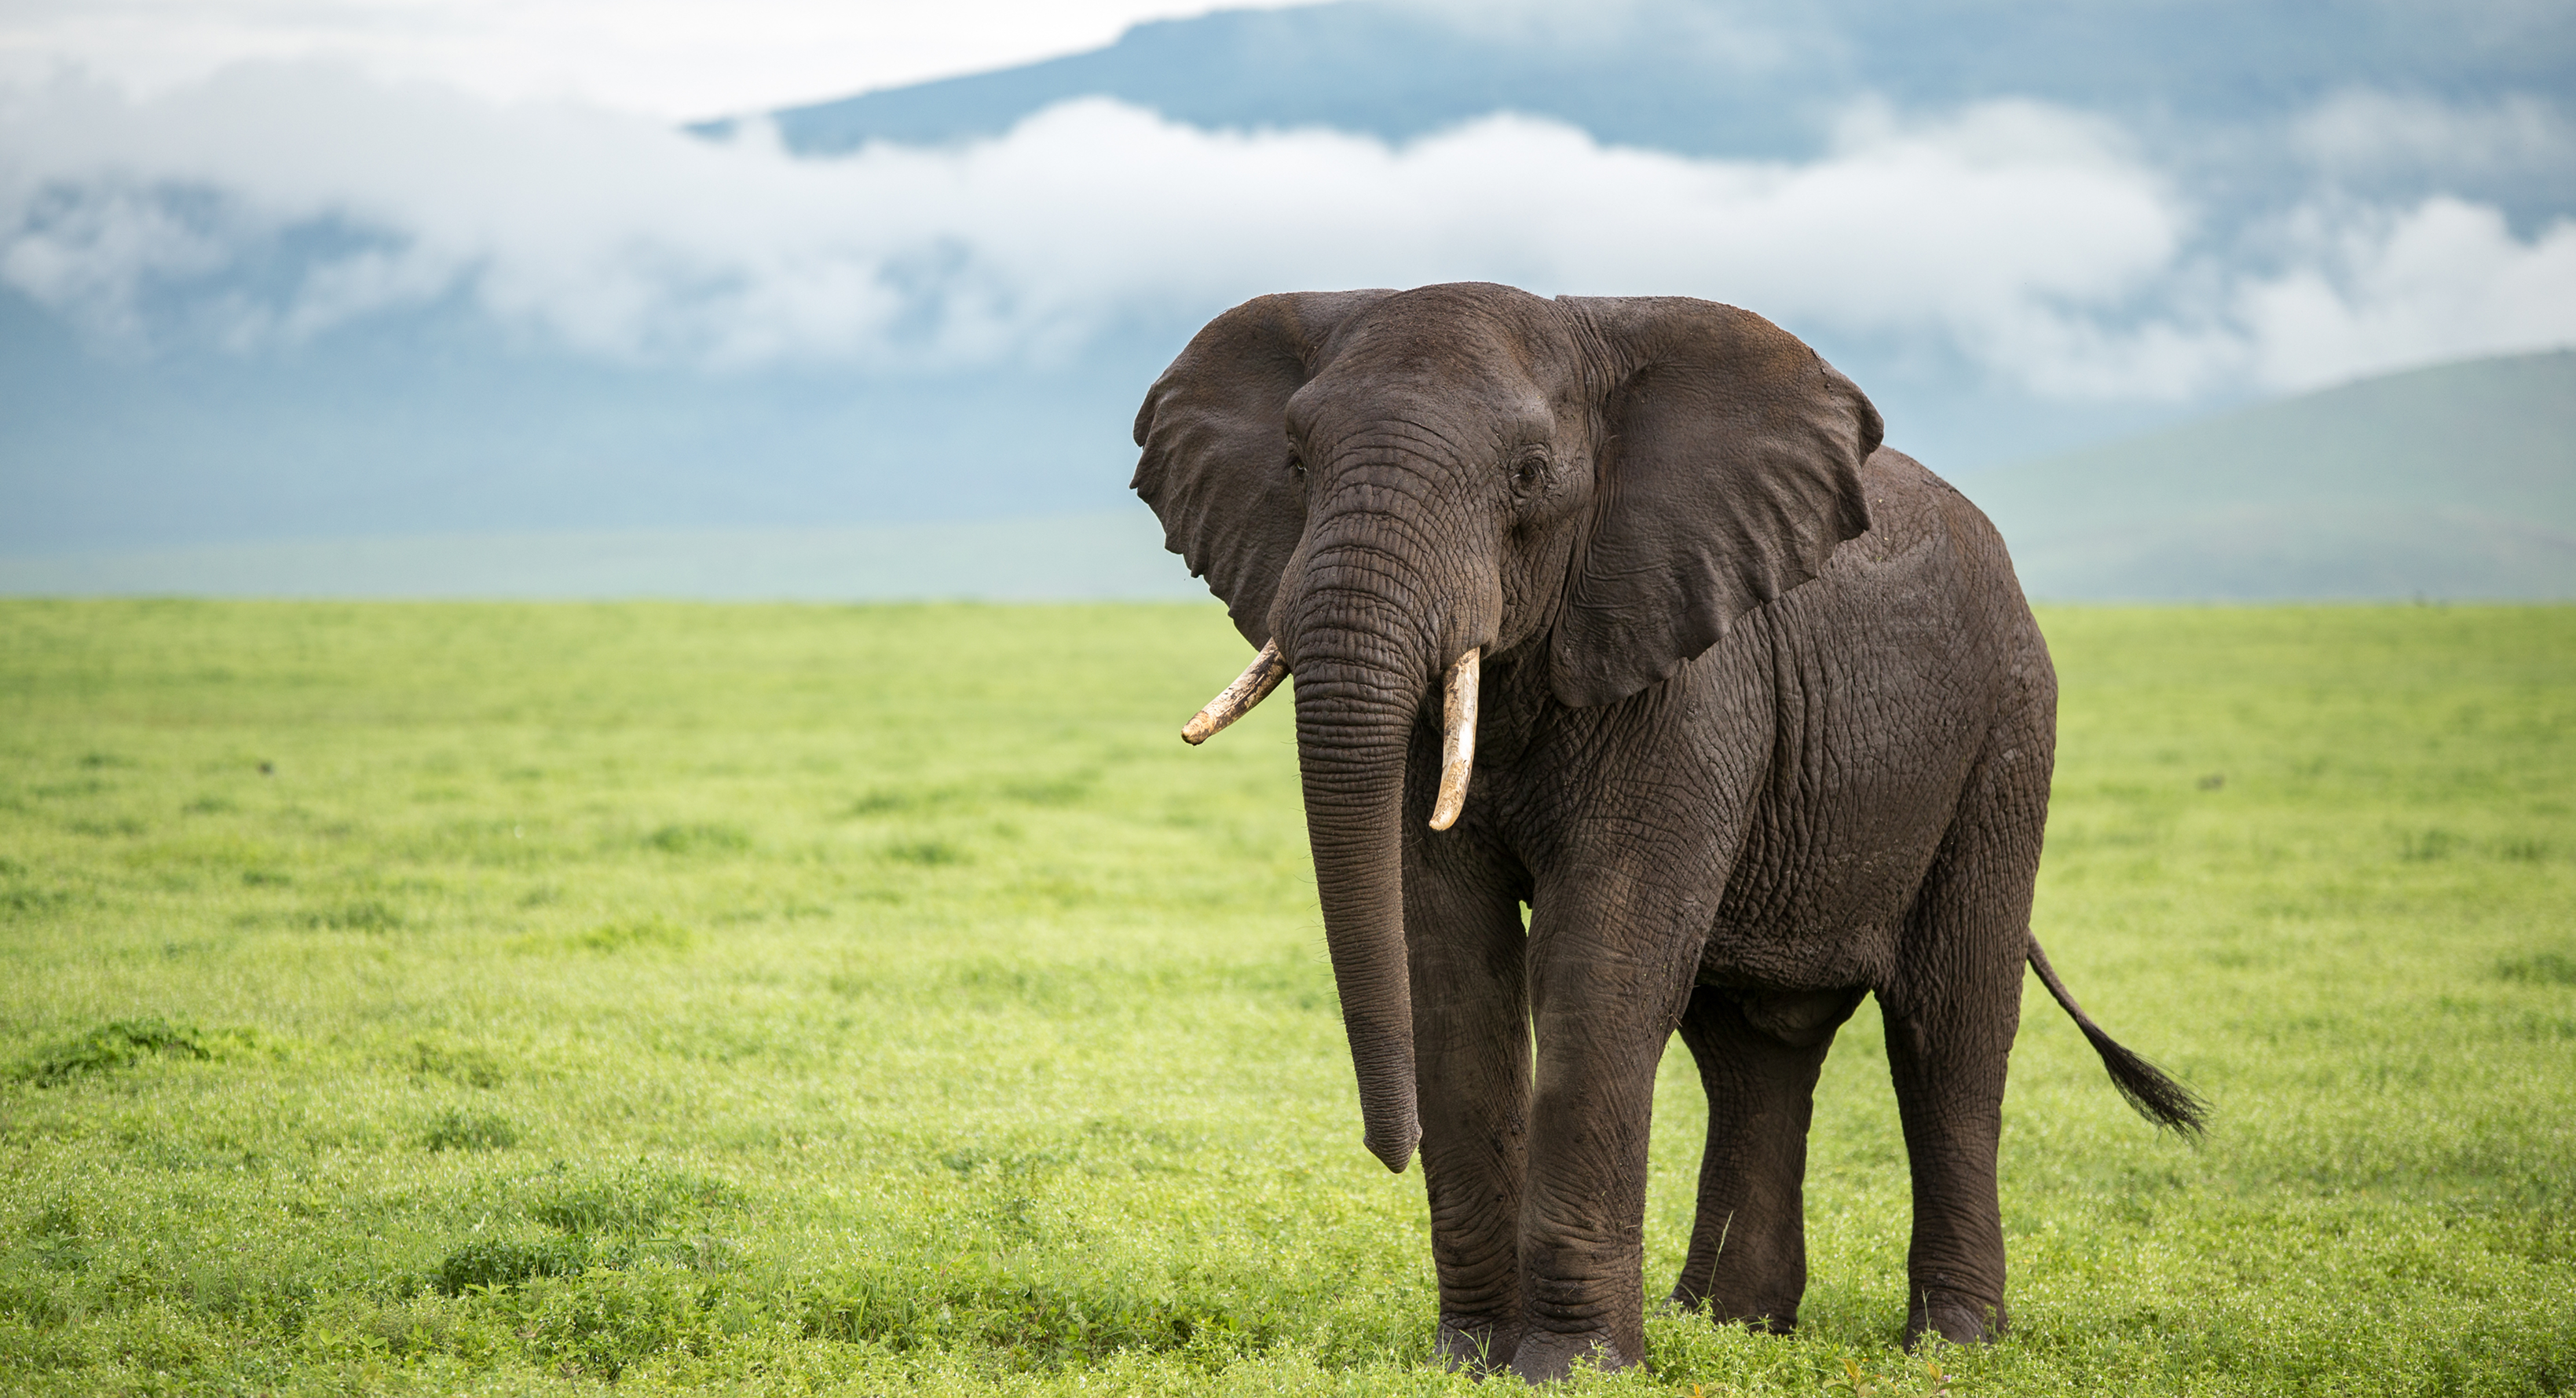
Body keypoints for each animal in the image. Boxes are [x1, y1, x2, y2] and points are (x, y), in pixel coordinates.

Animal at [1130, 282, 2203, 1383]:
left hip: (2004, 733)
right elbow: (1451, 964)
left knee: (1949, 1028)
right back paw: (1729, 1329)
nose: (1386, 1149)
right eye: (1296, 465)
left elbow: (1599, 968)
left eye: (1529, 476)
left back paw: (1948, 1347)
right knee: (1752, 1047)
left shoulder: (1689, 678)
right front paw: (1469, 1362)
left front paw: (1570, 1370)